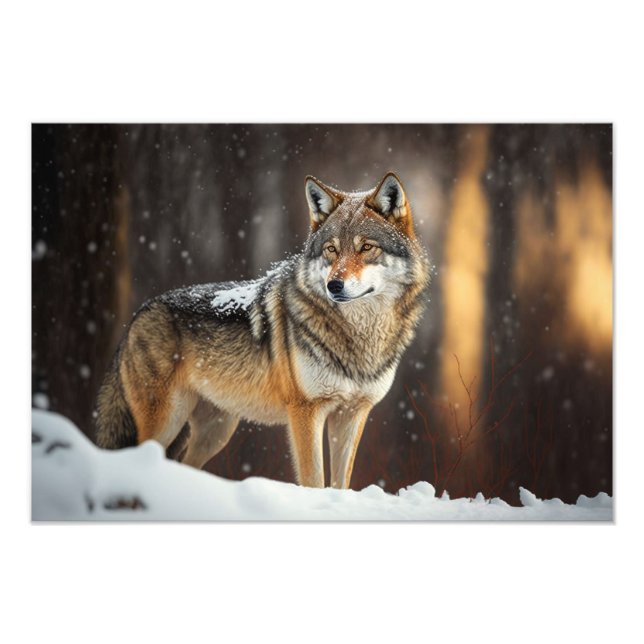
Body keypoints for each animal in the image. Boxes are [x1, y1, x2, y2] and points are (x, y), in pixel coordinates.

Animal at [95, 172, 430, 488]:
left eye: (367, 248)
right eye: (332, 250)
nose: (333, 285)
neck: (359, 335)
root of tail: (137, 315)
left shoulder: (353, 414)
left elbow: (340, 485)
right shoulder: (306, 411)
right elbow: (314, 481)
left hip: (215, 432)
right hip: (168, 422)